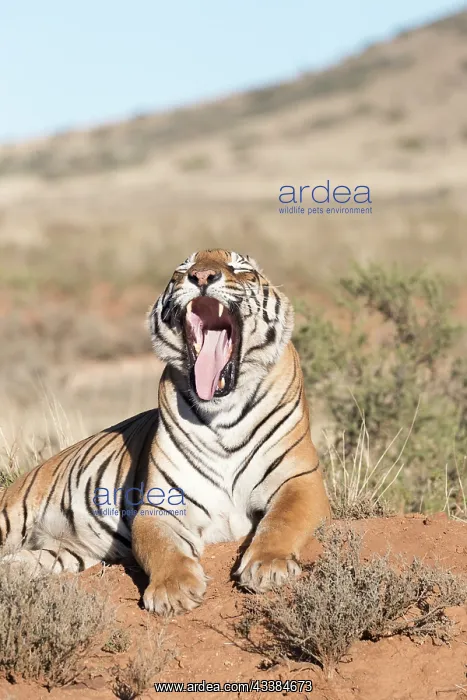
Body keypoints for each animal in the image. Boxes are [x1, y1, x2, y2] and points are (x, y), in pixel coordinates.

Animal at [0, 249, 331, 615]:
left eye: (240, 268)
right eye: (182, 270)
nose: (202, 277)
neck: (223, 411)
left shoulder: (300, 481)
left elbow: (283, 521)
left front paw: (268, 567)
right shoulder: (161, 506)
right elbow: (163, 548)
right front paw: (173, 591)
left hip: (65, 553)